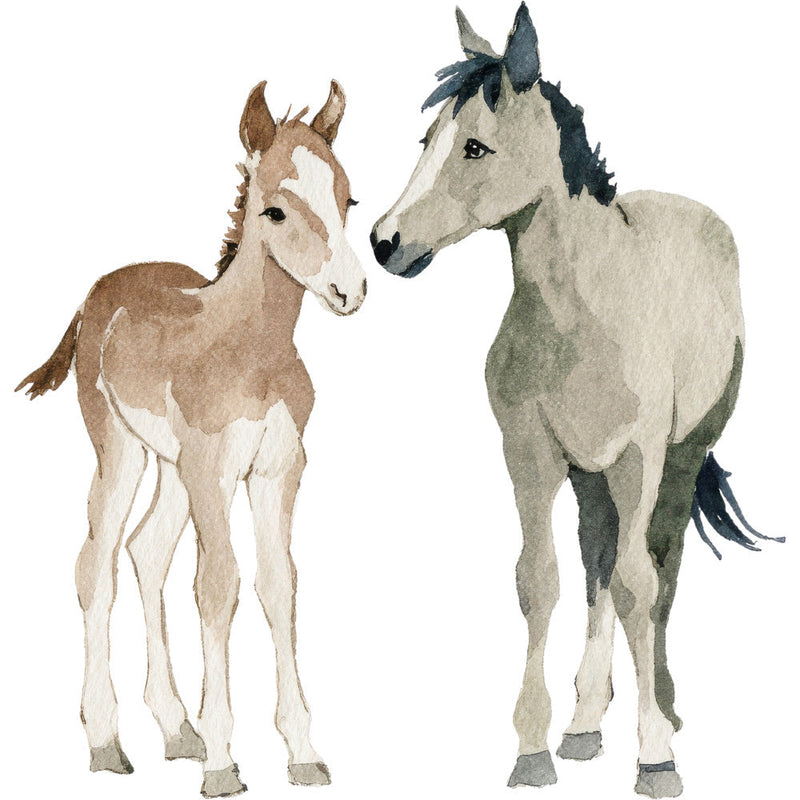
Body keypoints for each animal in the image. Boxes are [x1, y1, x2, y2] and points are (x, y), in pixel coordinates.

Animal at [16, 79, 365, 797]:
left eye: (347, 199)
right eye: (274, 210)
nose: (350, 292)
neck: (252, 352)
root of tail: (100, 291)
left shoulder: (276, 470)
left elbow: (279, 584)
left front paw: (302, 753)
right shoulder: (214, 469)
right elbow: (218, 584)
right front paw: (224, 764)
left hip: (174, 468)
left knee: (146, 551)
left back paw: (177, 729)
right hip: (121, 450)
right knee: (95, 562)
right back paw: (106, 740)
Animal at [371, 4, 781, 797]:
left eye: (475, 146)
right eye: (426, 142)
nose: (384, 242)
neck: (580, 316)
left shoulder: (637, 458)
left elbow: (638, 585)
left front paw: (655, 756)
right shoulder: (531, 456)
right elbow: (542, 581)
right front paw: (533, 749)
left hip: (678, 461)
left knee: (658, 568)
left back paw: (665, 710)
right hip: (591, 477)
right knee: (598, 562)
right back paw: (586, 723)